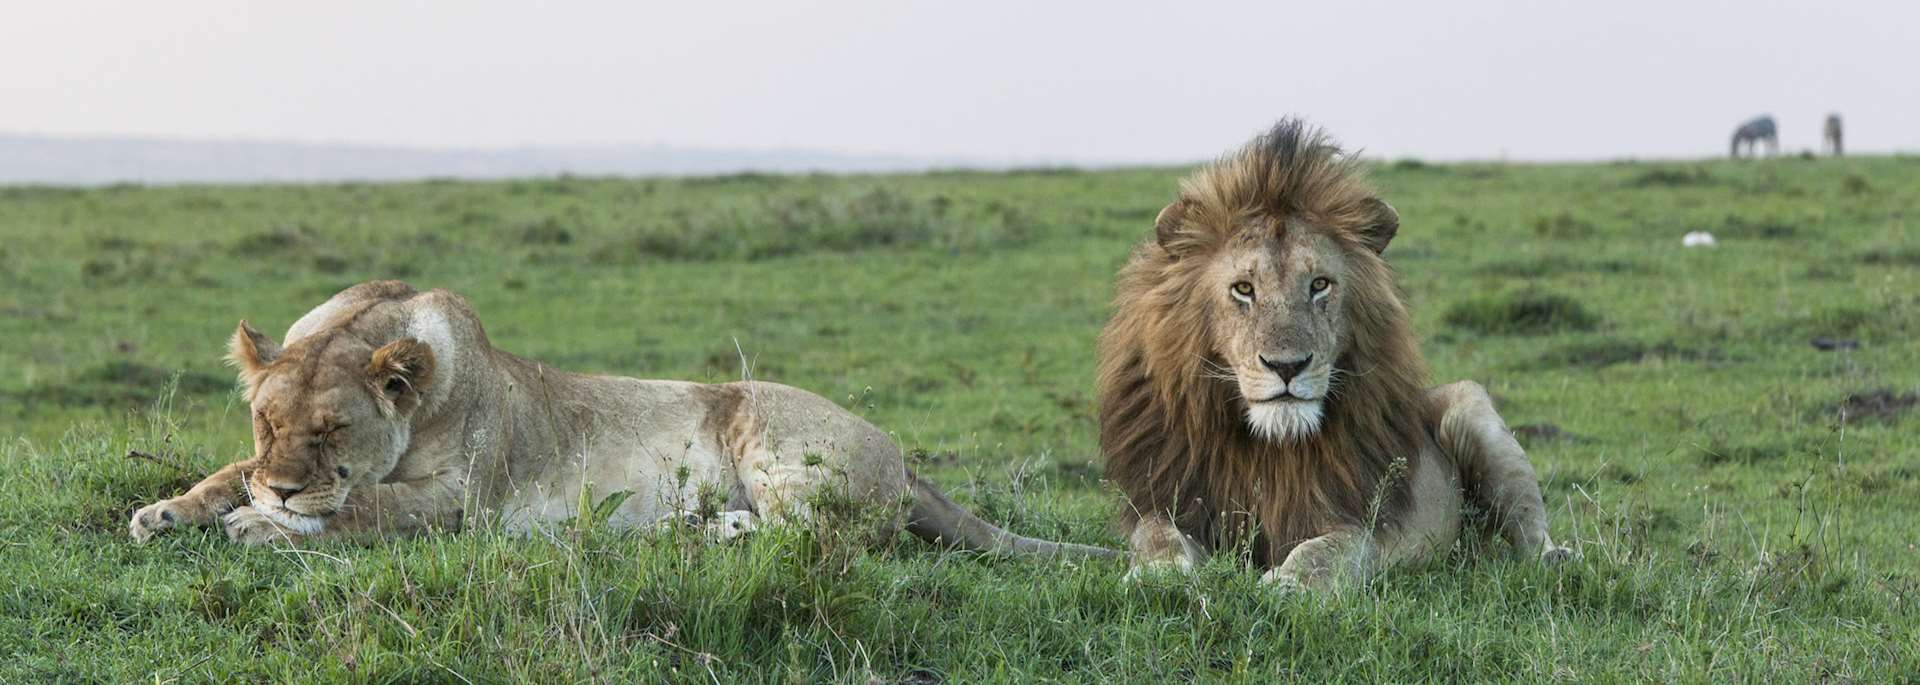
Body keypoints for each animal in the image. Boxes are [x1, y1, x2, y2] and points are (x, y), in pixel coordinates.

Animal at [129, 280, 1115, 561]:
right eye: (265, 424)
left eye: (333, 432)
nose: (283, 486)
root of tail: (905, 459)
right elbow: (218, 475)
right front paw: (170, 509)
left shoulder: (462, 501)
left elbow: (365, 508)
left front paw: (268, 523)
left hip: (760, 418)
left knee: (820, 535)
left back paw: (695, 532)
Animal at [1097, 120, 1571, 590]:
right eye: (1244, 289)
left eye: (1319, 285)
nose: (1286, 366)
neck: (1271, 448)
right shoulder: (1174, 500)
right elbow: (1157, 536)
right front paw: (1157, 575)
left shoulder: (1368, 522)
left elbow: (1326, 551)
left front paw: (1288, 583)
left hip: (1472, 408)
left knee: (1527, 524)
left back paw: (1554, 558)